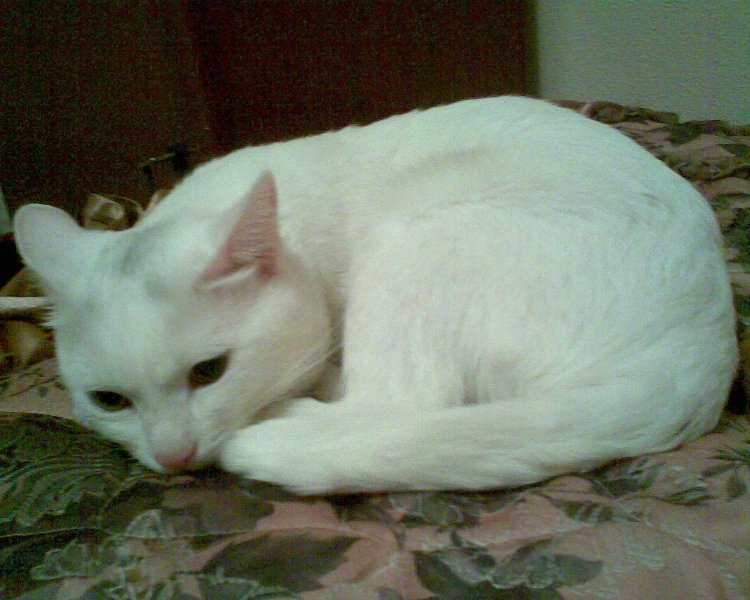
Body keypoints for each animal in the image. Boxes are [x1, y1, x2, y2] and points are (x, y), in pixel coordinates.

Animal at [14, 97, 738, 494]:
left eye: (209, 372)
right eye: (108, 401)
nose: (174, 459)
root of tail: (692, 363)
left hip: (422, 231)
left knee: (398, 406)